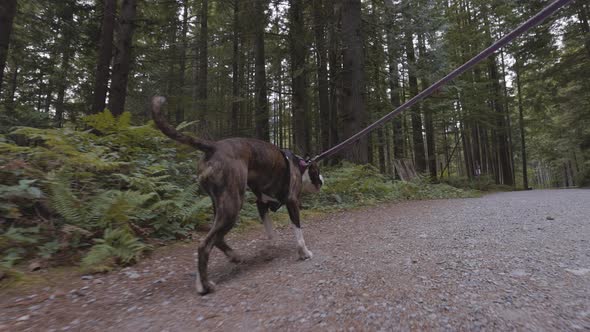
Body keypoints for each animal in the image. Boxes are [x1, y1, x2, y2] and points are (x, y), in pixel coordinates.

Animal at [150, 95, 322, 294]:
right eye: (318, 171)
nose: (322, 181)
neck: (300, 165)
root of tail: (213, 147)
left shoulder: (261, 204)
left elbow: (270, 230)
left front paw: (273, 245)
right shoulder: (292, 202)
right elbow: (298, 232)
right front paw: (304, 253)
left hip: (221, 205)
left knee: (217, 238)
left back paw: (228, 260)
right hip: (232, 206)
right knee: (205, 245)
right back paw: (205, 285)